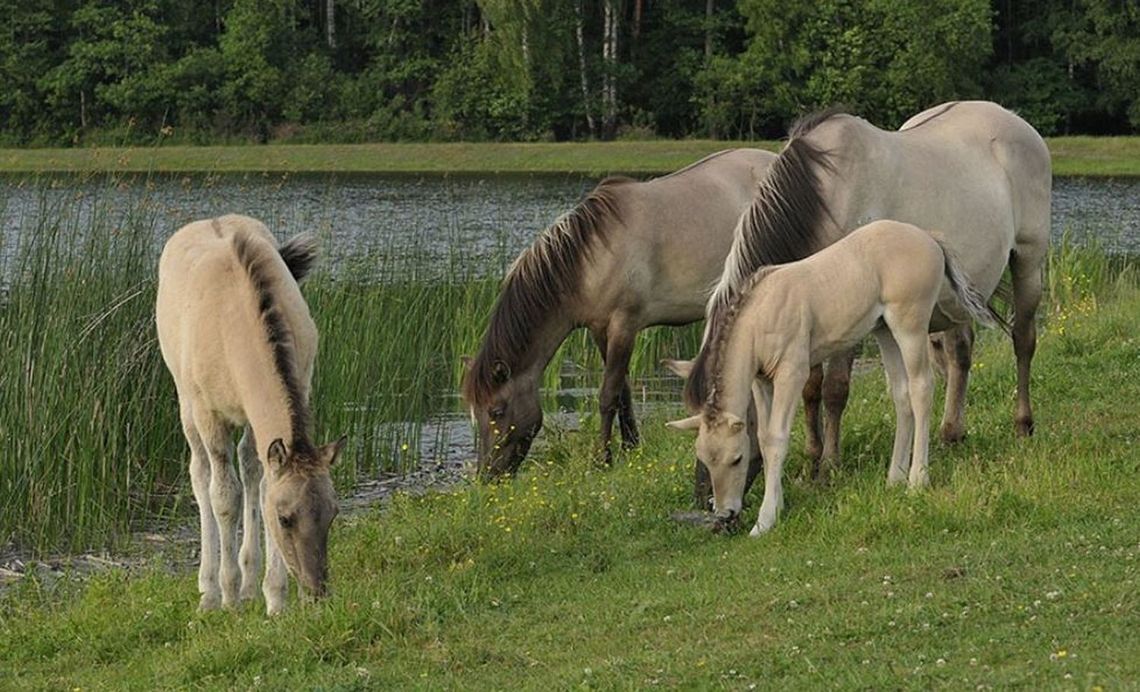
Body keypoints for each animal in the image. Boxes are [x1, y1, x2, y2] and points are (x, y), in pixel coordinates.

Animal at [155, 214, 346, 615]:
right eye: (285, 519)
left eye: (333, 513)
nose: (316, 592)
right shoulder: (209, 414)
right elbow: (224, 496)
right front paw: (228, 596)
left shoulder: (293, 393)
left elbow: (261, 485)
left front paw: (274, 597)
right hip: (186, 403)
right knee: (200, 474)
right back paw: (210, 590)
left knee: (249, 468)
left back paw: (248, 583)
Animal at [460, 149, 775, 478]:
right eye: (474, 412)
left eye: (496, 410)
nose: (487, 475)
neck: (589, 259)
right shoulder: (600, 330)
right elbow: (623, 392)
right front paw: (631, 448)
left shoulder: (624, 325)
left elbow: (608, 394)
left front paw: (603, 459)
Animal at [665, 222, 1007, 535]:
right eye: (705, 459)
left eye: (736, 459)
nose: (725, 513)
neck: (760, 315)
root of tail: (928, 238)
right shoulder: (761, 381)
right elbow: (763, 435)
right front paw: (775, 506)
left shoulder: (792, 372)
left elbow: (777, 438)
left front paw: (765, 520)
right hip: (884, 331)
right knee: (901, 395)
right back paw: (893, 477)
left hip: (909, 325)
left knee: (922, 388)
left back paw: (916, 480)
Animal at [684, 100, 1048, 485]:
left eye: (734, 444)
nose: (707, 496)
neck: (828, 196)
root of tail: (1015, 121)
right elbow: (811, 388)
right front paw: (813, 456)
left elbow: (835, 388)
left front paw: (830, 463)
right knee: (959, 354)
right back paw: (951, 432)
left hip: (1028, 263)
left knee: (1023, 340)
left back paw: (1022, 423)